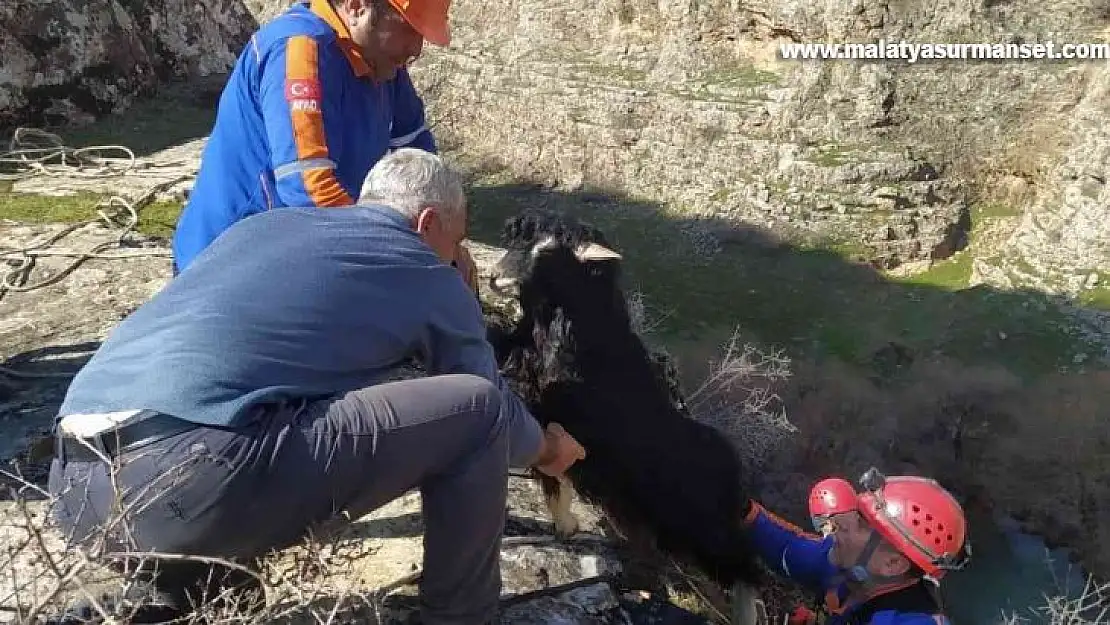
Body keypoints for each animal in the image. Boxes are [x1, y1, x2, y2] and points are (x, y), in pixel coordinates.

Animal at [490, 209, 768, 612]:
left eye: (550, 254)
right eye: (518, 240)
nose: (495, 278)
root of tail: (732, 473)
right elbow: (554, 480)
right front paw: (566, 527)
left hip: (700, 525)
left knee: (745, 570)